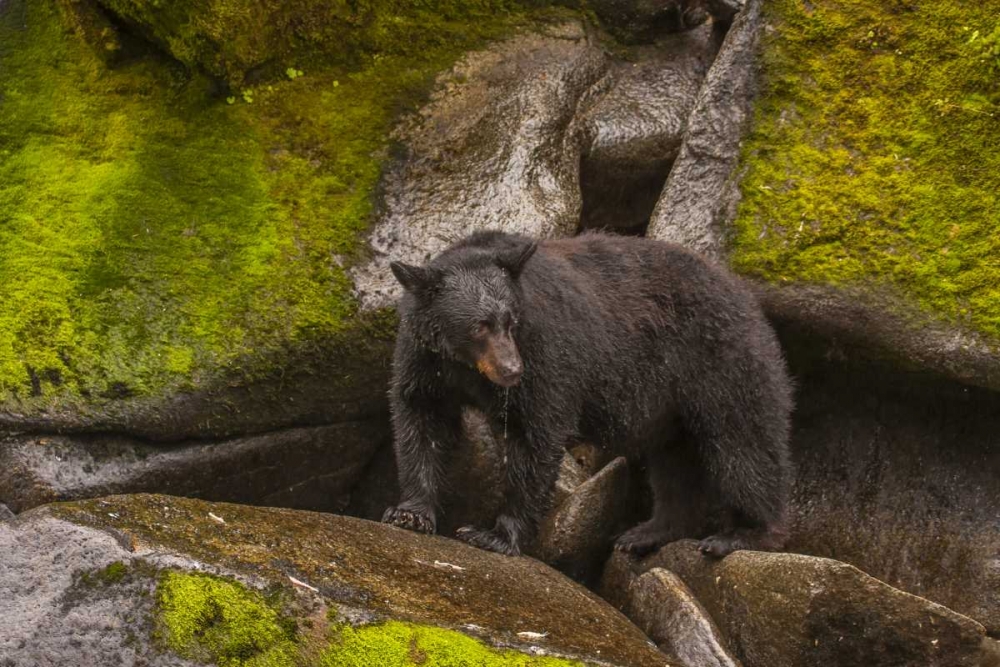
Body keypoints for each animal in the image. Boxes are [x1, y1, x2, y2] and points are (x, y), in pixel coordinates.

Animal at [382, 230, 793, 558]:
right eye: (479, 326)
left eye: (510, 320)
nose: (512, 371)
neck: (465, 367)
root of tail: (745, 295)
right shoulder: (425, 362)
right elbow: (422, 422)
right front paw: (409, 513)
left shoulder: (545, 355)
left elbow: (535, 437)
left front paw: (493, 535)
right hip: (673, 411)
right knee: (674, 467)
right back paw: (647, 532)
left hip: (722, 366)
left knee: (744, 447)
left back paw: (741, 535)